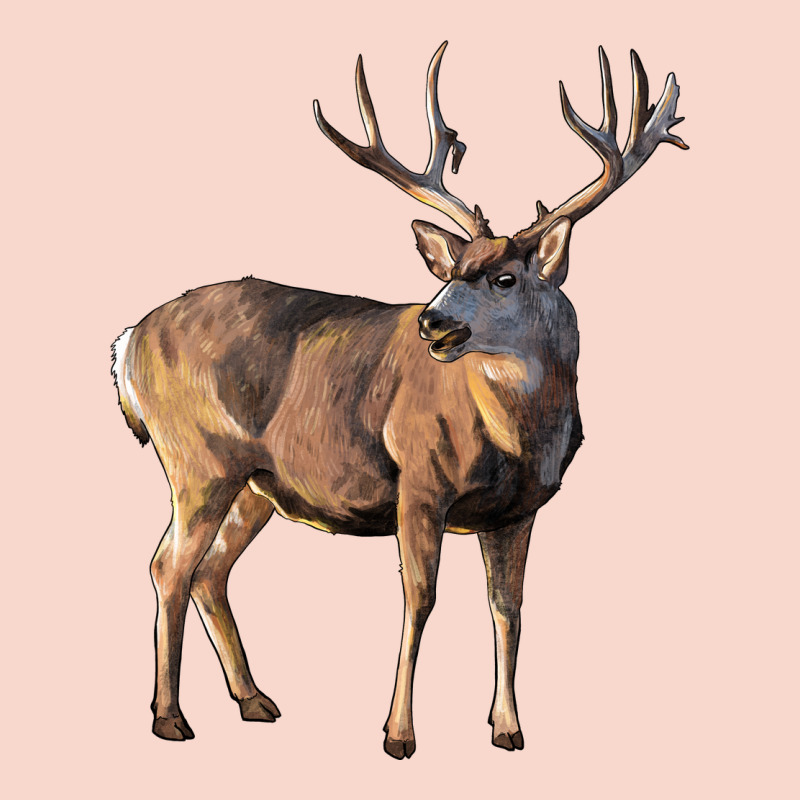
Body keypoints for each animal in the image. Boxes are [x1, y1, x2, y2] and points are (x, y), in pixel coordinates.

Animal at [111, 42, 687, 759]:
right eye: (450, 271)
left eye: (504, 277)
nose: (432, 323)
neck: (518, 437)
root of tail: (129, 341)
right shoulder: (419, 481)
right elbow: (420, 598)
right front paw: (398, 733)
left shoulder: (520, 509)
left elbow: (508, 608)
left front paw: (508, 728)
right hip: (198, 459)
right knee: (169, 565)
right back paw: (170, 717)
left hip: (256, 482)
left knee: (210, 571)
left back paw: (255, 701)